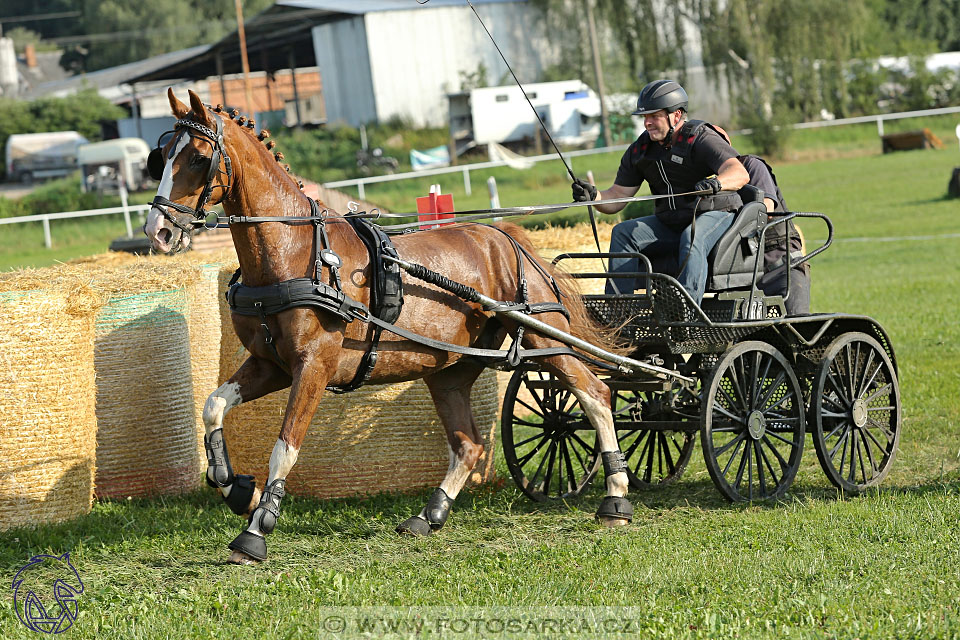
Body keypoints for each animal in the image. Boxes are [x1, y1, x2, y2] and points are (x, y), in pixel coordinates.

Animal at [142, 87, 632, 564]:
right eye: (161, 156)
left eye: (199, 158)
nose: (157, 231)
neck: (295, 252)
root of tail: (507, 238)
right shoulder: (271, 364)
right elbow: (213, 407)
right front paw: (238, 489)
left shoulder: (313, 366)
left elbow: (285, 447)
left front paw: (256, 530)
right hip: (450, 371)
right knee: (469, 444)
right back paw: (429, 515)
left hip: (546, 340)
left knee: (595, 394)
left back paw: (616, 497)